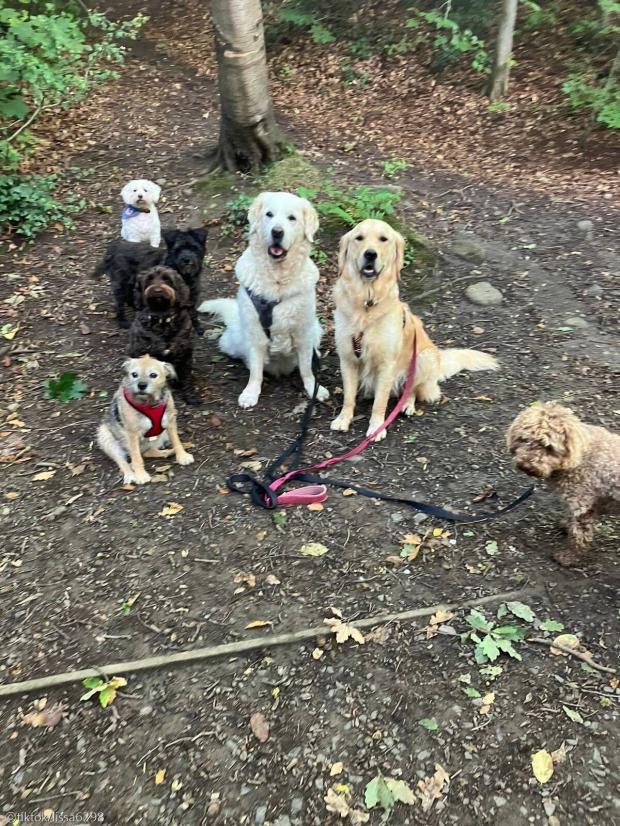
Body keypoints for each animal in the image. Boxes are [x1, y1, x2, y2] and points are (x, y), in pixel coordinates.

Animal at [130, 266, 200, 404]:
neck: (162, 320)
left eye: (167, 279)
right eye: (149, 279)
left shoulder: (185, 354)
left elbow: (186, 377)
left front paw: (190, 395)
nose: (157, 290)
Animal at [201, 194, 332, 412]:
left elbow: (306, 368)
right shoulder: (255, 332)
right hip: (234, 339)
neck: (277, 280)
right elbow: (256, 370)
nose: (277, 232)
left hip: (316, 328)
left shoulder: (304, 331)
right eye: (269, 214)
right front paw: (250, 393)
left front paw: (314, 388)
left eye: (292, 218)